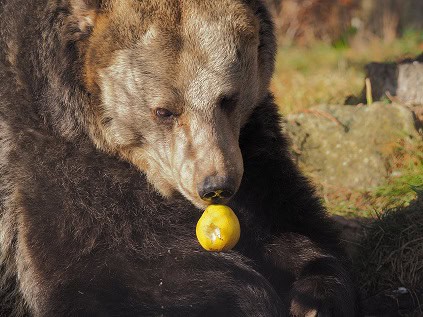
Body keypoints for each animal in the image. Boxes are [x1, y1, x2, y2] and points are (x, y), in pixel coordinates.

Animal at [0, 1, 358, 314]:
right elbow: (103, 273)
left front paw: (313, 297)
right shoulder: (54, 164)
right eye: (164, 111)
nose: (215, 185)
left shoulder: (254, 146)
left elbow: (292, 220)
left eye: (228, 98)